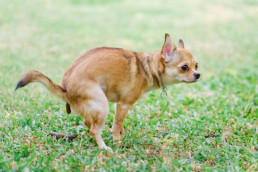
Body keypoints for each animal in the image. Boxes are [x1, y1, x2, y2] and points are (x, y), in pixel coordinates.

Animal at [16, 33, 201, 149]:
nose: (198, 75)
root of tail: (65, 87)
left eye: (196, 65)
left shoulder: (121, 106)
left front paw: (122, 134)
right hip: (102, 104)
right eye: (184, 67)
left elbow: (119, 124)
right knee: (93, 129)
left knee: (88, 122)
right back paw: (104, 148)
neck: (148, 67)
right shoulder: (123, 104)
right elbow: (116, 125)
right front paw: (117, 141)